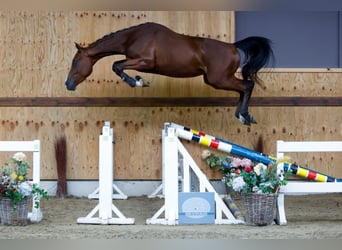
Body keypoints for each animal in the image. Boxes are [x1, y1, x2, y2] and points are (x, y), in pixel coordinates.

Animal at [65, 22, 272, 125]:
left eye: (75, 61)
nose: (68, 84)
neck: (133, 37)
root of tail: (233, 47)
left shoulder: (145, 61)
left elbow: (116, 65)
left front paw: (137, 82)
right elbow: (118, 66)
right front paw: (139, 80)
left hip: (219, 80)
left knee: (247, 85)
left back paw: (245, 115)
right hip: (216, 80)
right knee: (243, 89)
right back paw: (242, 116)